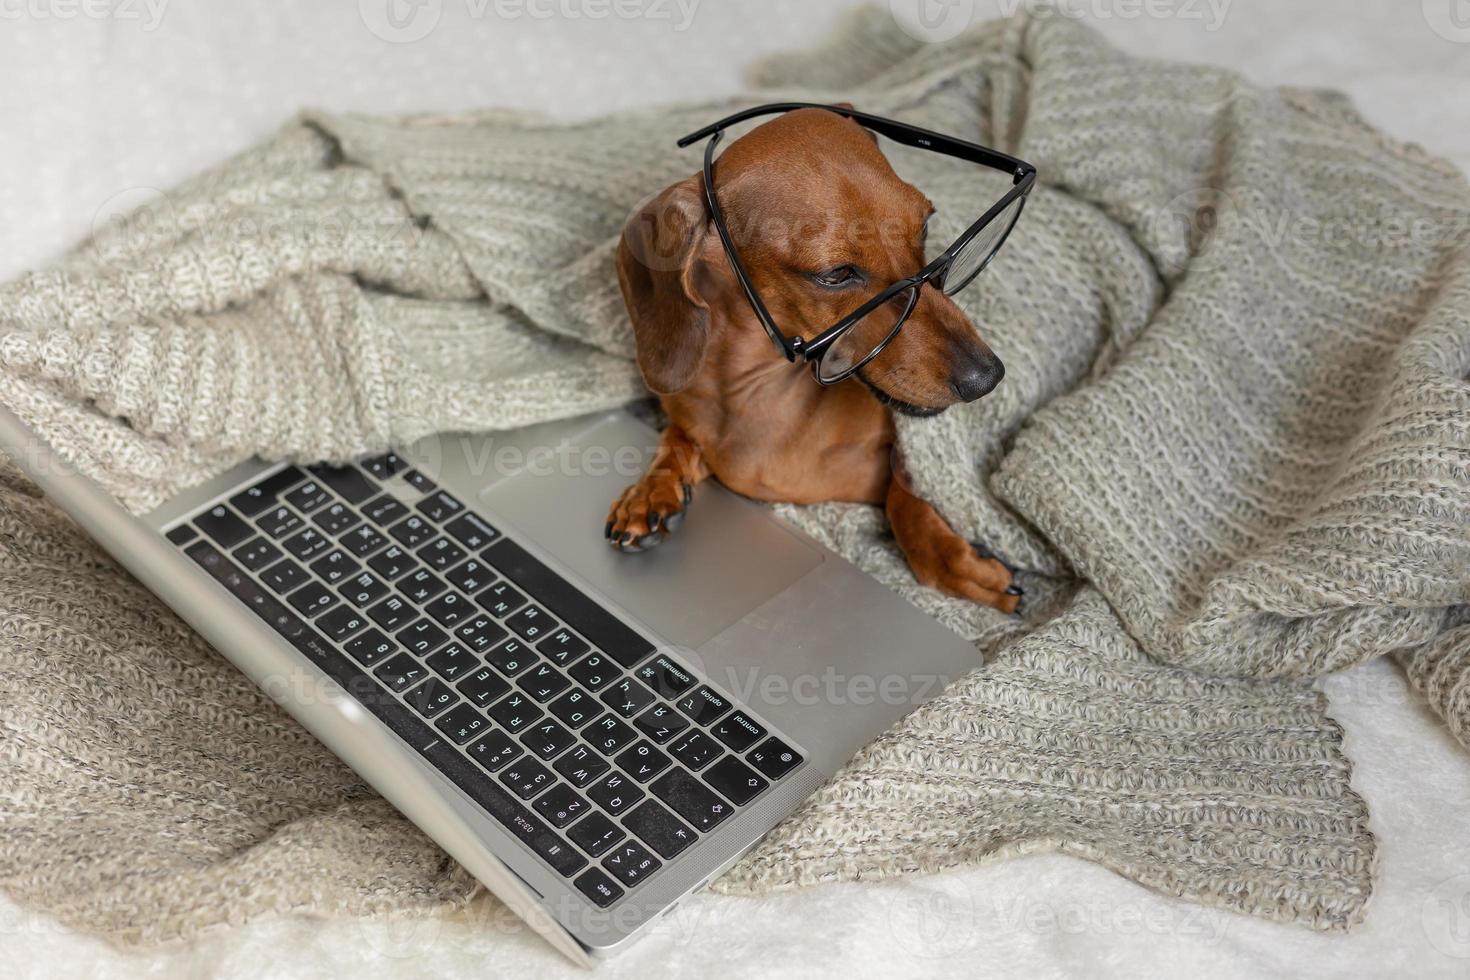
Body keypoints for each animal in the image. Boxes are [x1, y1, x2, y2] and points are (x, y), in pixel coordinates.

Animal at [602, 107, 1017, 614]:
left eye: (924, 227)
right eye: (835, 275)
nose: (987, 378)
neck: (757, 393)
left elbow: (907, 491)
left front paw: (951, 559)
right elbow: (677, 438)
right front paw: (649, 492)